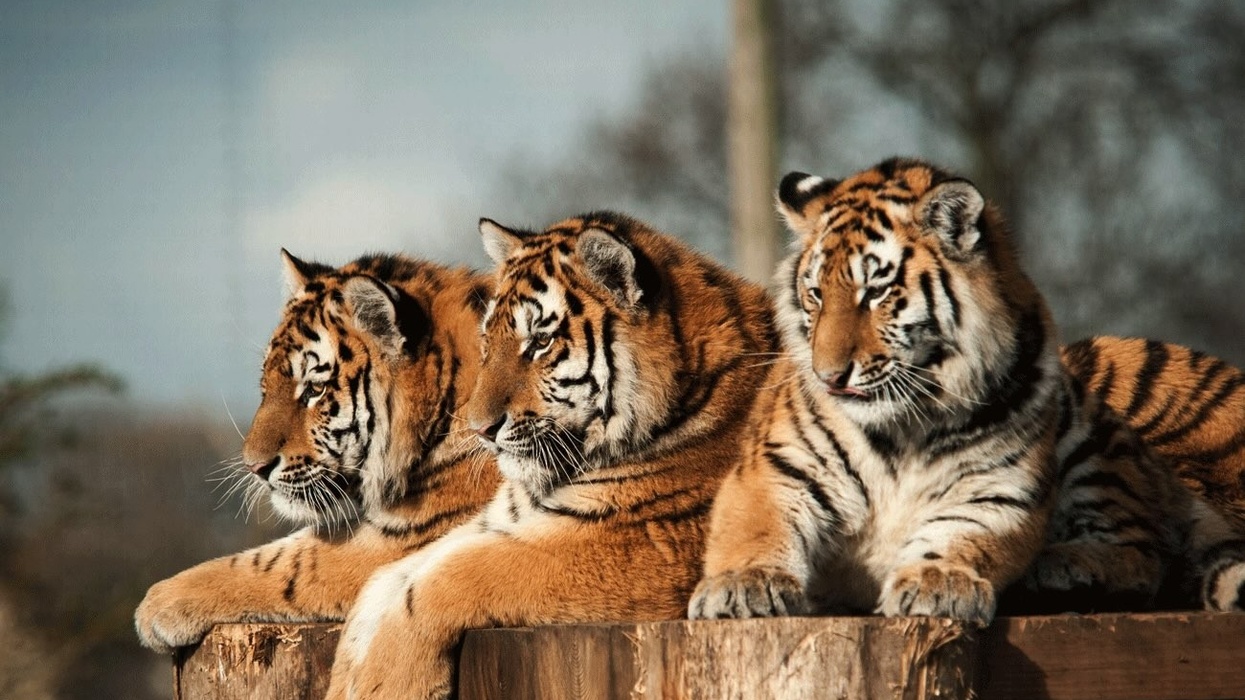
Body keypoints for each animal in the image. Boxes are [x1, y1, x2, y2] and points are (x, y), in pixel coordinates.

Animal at [134, 251, 500, 653]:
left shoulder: (400, 538)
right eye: (265, 385)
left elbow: (281, 562)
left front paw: (157, 604)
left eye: (314, 389)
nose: (254, 467)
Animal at [324, 212, 777, 700]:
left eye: (540, 342)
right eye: (488, 341)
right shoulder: (503, 520)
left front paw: (387, 681)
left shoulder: (637, 541)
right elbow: (387, 580)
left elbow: (442, 580)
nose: (480, 430)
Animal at [689, 157, 1245, 626]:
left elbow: (963, 537)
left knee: (1141, 549)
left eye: (876, 292)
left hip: (1093, 443)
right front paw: (743, 585)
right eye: (816, 294)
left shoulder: (1000, 489)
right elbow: (754, 527)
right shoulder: (779, 469)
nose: (830, 376)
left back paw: (1061, 567)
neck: (905, 422)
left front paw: (937, 582)